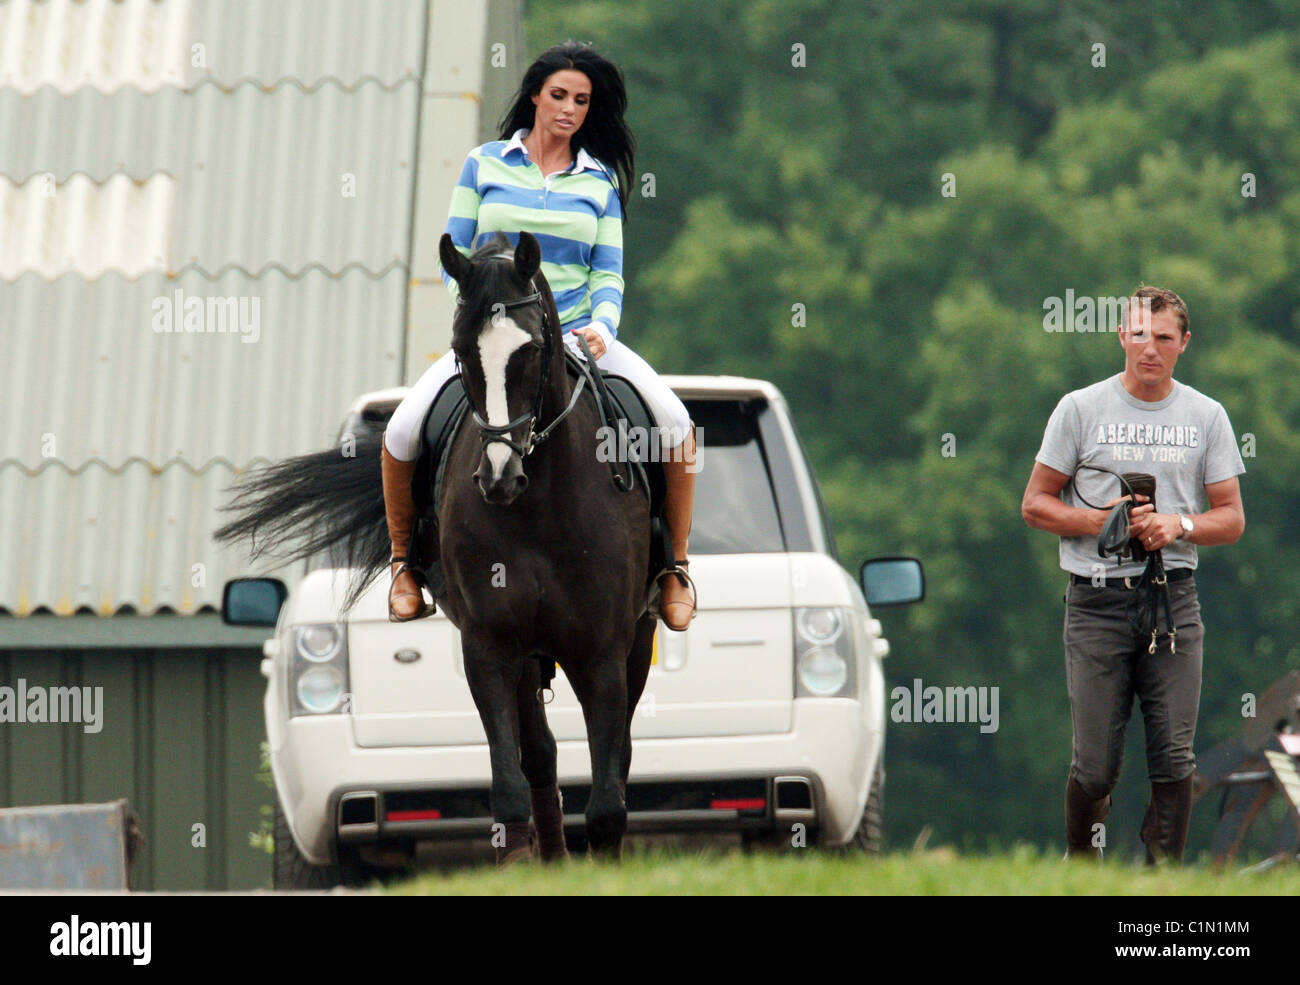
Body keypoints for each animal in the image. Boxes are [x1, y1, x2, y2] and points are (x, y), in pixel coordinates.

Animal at [218, 231, 660, 862]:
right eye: (461, 351)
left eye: (530, 351)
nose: (499, 476)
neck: (541, 502)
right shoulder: (490, 644)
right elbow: (508, 783)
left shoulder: (601, 648)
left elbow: (607, 795)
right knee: (540, 754)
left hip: (634, 637)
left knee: (607, 754)